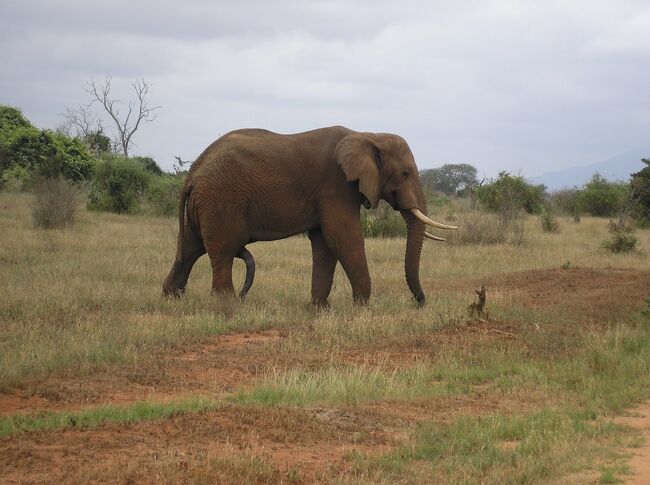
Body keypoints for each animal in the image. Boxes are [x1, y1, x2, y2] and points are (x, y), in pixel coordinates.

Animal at [162, 125, 456, 306]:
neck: (368, 135)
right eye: (405, 174)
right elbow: (344, 238)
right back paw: (228, 306)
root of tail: (193, 173)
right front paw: (362, 307)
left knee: (189, 250)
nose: (421, 302)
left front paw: (320, 309)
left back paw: (171, 300)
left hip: (204, 205)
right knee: (222, 252)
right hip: (221, 201)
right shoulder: (336, 187)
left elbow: (325, 244)